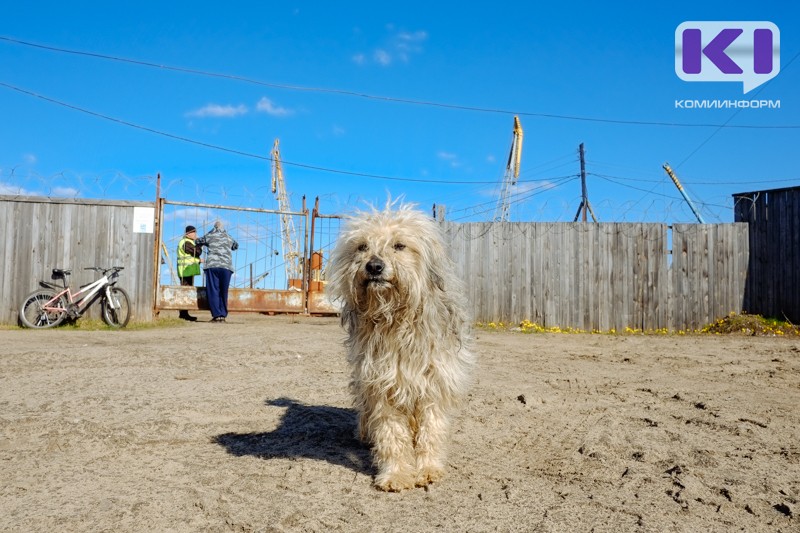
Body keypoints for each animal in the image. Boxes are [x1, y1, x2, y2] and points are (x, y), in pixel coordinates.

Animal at [326, 205, 476, 490]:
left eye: (399, 245)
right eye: (362, 246)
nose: (374, 266)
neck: (396, 318)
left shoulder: (434, 382)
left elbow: (432, 429)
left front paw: (428, 469)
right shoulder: (382, 383)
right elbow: (391, 433)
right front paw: (395, 473)